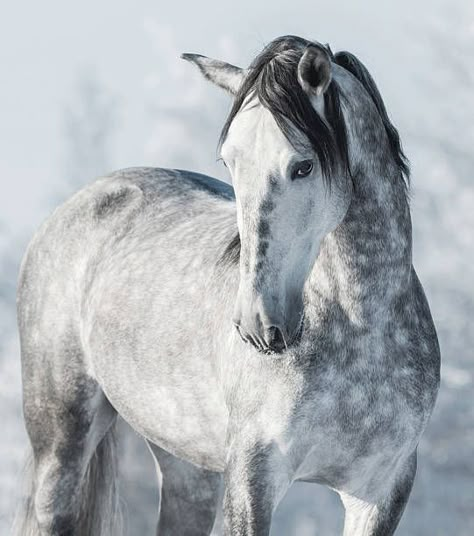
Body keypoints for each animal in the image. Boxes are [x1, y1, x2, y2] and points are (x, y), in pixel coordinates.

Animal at [15, 35, 440, 532]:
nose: (259, 323)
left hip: (187, 468)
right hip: (61, 442)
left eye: (304, 166)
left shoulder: (380, 490)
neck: (361, 333)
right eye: (230, 162)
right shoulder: (253, 477)